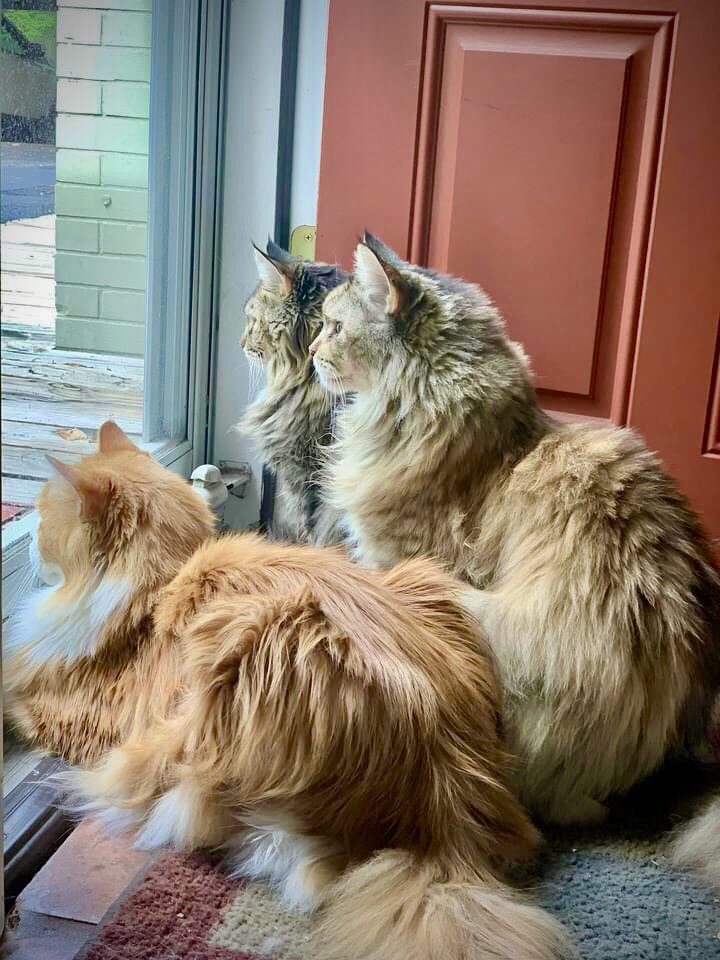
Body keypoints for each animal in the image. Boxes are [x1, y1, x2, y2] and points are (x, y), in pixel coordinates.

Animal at [5, 426, 568, 960]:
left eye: (41, 521)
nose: (27, 543)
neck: (158, 582)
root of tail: (449, 795)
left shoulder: (79, 715)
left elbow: (16, 703)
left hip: (252, 644)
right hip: (428, 582)